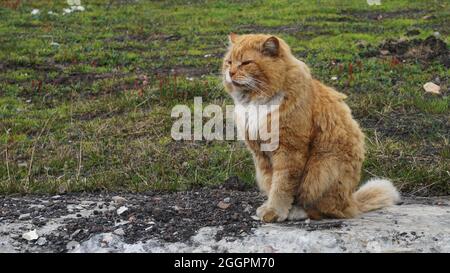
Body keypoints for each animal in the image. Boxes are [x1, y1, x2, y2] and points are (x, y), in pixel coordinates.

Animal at [222, 33, 400, 221]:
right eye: (229, 62)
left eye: (246, 63)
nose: (230, 73)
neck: (255, 102)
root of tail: (351, 202)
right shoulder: (261, 155)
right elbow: (272, 184)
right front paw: (270, 207)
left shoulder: (289, 152)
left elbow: (281, 187)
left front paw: (275, 211)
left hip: (322, 170)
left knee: (323, 210)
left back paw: (298, 212)